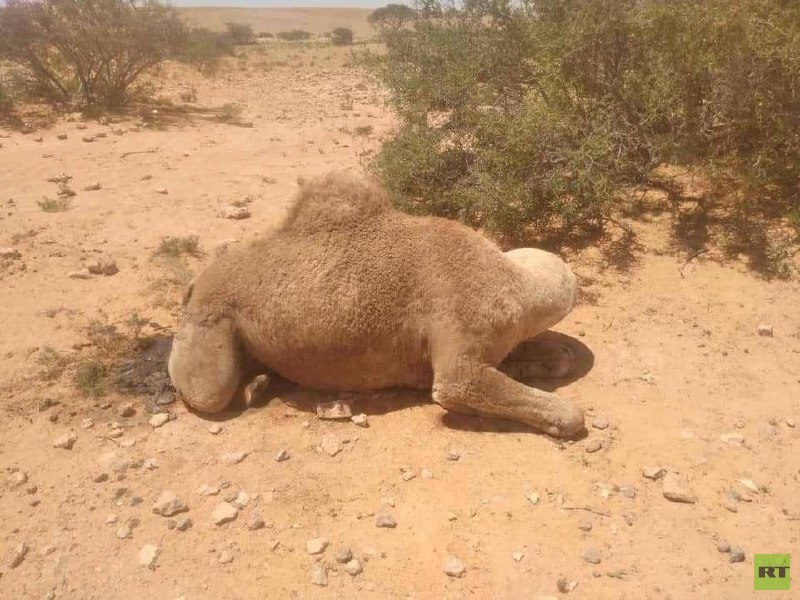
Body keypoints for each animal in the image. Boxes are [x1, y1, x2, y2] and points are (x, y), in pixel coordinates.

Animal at [169, 171, 584, 438]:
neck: (509, 282)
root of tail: (194, 284)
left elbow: (536, 362)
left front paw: (547, 360)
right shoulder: (462, 330)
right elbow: (460, 387)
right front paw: (566, 416)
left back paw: (262, 380)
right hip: (209, 327)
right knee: (207, 393)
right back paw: (253, 386)